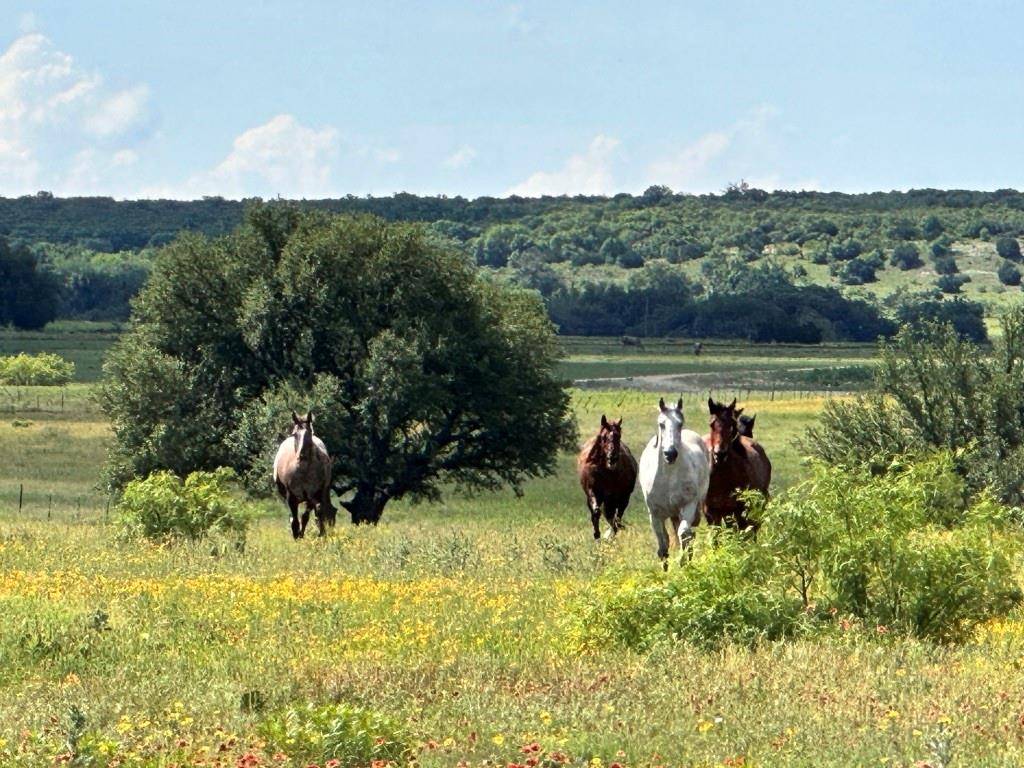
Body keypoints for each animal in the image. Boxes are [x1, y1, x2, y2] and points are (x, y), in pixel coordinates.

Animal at [272, 409, 335, 540]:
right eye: (295, 434)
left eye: (309, 433)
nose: (301, 456)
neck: (304, 470)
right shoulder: (291, 496)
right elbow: (295, 520)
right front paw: (297, 536)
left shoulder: (313, 494)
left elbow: (309, 515)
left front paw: (320, 534)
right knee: (294, 517)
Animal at [638, 399, 712, 569]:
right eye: (661, 424)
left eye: (680, 423)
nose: (670, 454)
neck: (668, 478)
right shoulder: (655, 515)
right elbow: (663, 545)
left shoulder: (688, 506)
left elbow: (683, 534)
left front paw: (683, 563)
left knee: (688, 534)